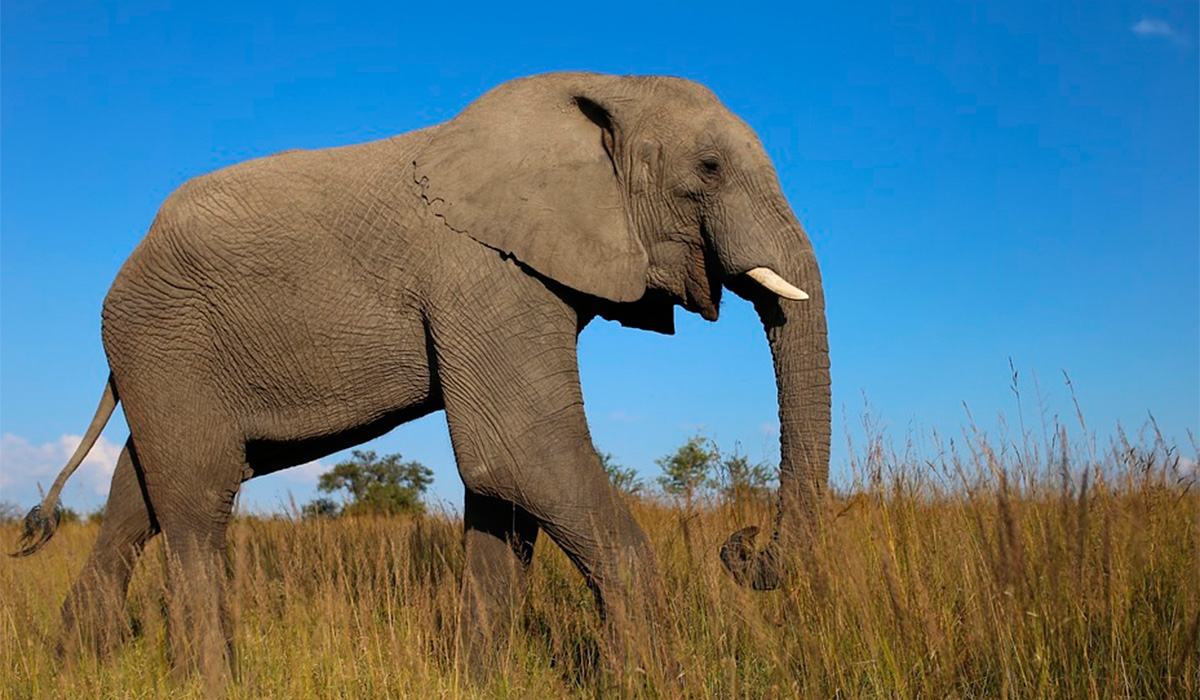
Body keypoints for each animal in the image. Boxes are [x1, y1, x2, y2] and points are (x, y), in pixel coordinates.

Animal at [12, 71, 830, 690]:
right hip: (164, 339)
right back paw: (215, 682)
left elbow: (507, 491)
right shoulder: (480, 270)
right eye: (709, 170)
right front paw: (652, 685)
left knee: (138, 494)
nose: (742, 542)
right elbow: (519, 454)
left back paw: (72, 668)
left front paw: (479, 683)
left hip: (168, 355)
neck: (603, 91)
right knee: (197, 498)